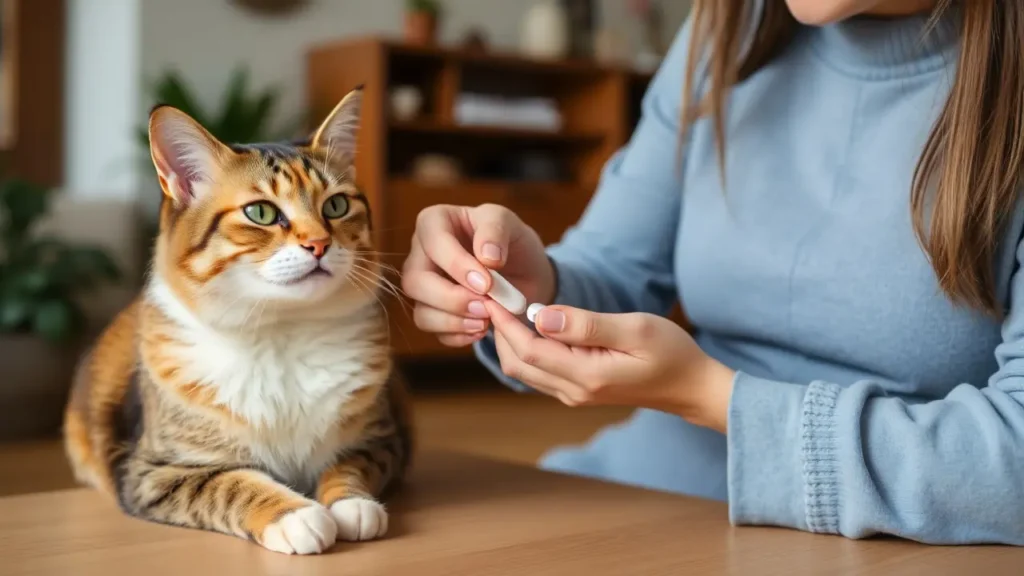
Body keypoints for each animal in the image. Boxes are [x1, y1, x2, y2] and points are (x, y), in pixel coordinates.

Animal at [60, 88, 407, 553]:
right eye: (260, 213)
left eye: (336, 205)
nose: (319, 243)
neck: (280, 335)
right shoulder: (153, 471)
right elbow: (231, 483)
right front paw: (294, 515)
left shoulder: (382, 438)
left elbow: (349, 464)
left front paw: (353, 504)